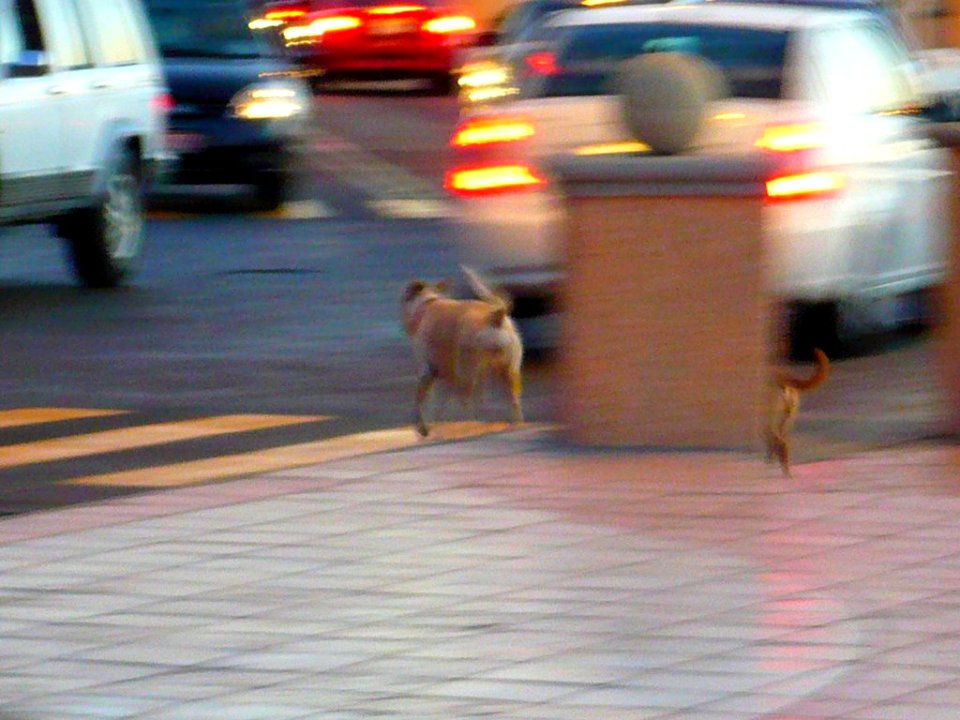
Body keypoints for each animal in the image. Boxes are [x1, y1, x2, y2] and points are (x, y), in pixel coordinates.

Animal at [404, 268, 524, 436]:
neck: (427, 303)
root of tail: (495, 317)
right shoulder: (444, 377)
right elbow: (440, 403)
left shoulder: (427, 371)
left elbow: (421, 400)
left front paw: (423, 426)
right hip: (507, 372)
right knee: (510, 401)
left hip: (468, 372)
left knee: (468, 403)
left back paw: (469, 425)